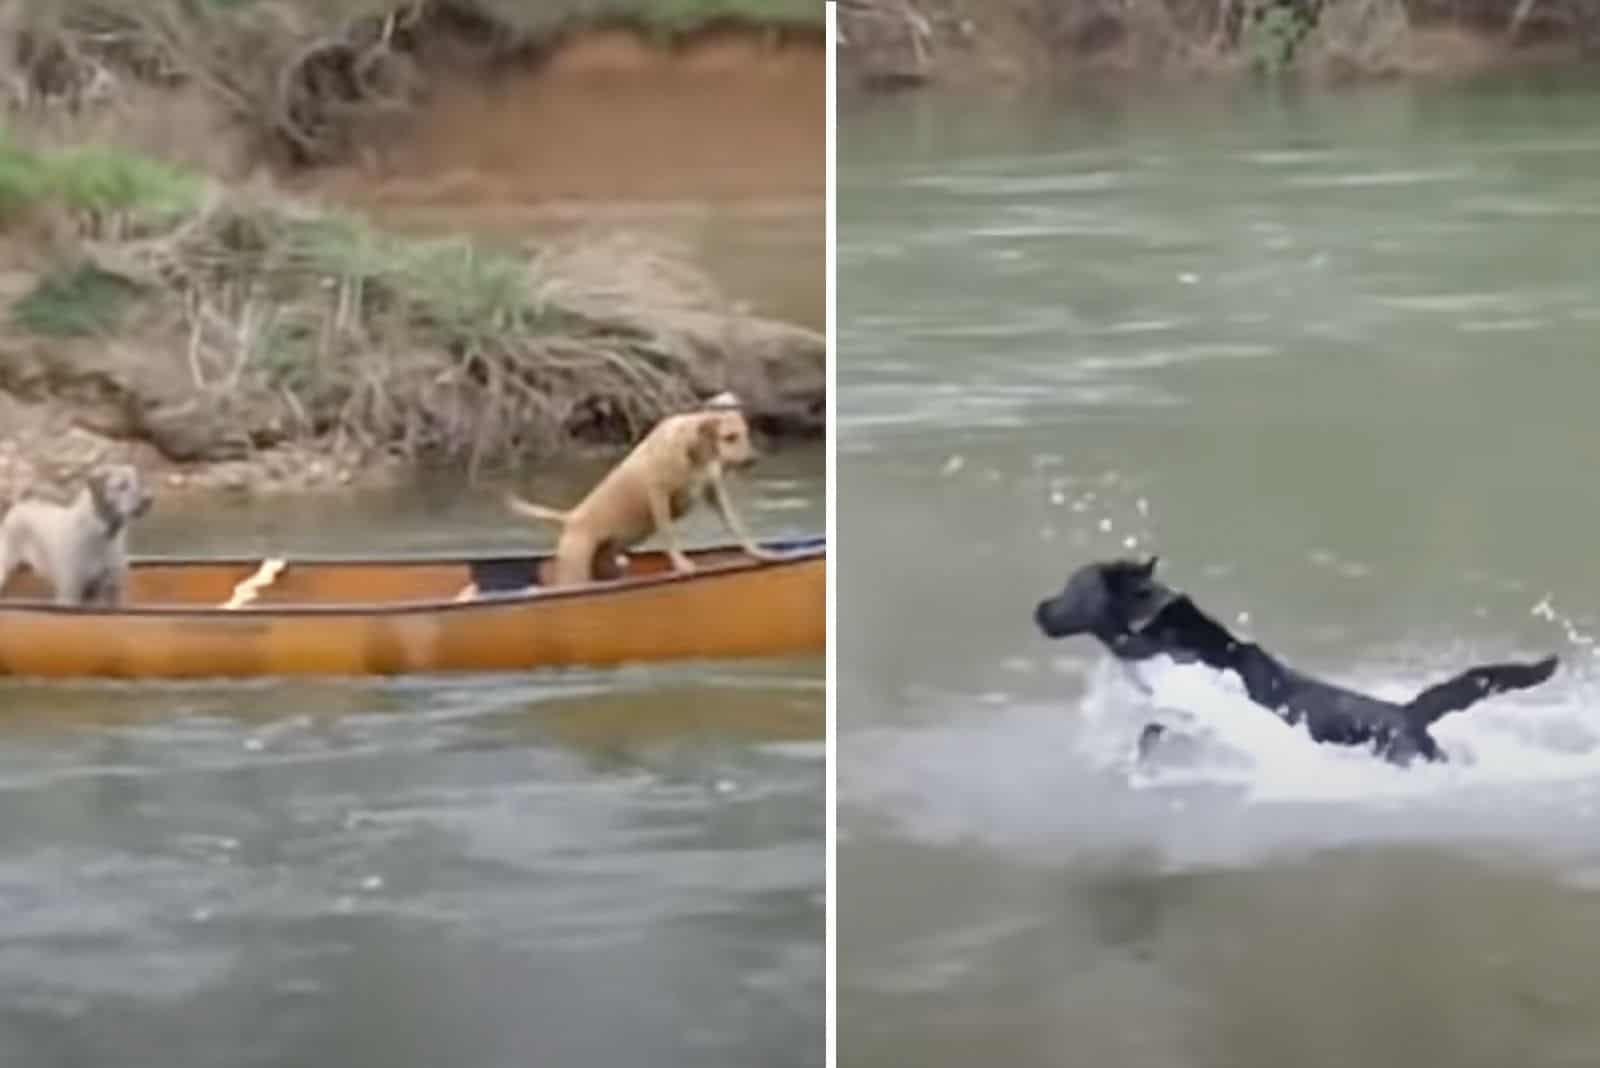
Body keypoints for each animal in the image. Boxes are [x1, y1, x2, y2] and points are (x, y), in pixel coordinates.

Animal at [0, 463, 154, 604]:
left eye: (138, 482)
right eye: (122, 486)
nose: (148, 499)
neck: (101, 533)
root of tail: (20, 503)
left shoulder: (112, 591)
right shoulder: (71, 592)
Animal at [508, 391, 784, 585]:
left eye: (746, 434)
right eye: (729, 437)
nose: (753, 459)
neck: (694, 451)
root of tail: (571, 517)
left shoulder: (713, 492)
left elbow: (737, 525)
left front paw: (758, 552)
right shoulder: (658, 494)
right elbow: (669, 534)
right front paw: (681, 564)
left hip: (606, 566)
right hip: (575, 570)